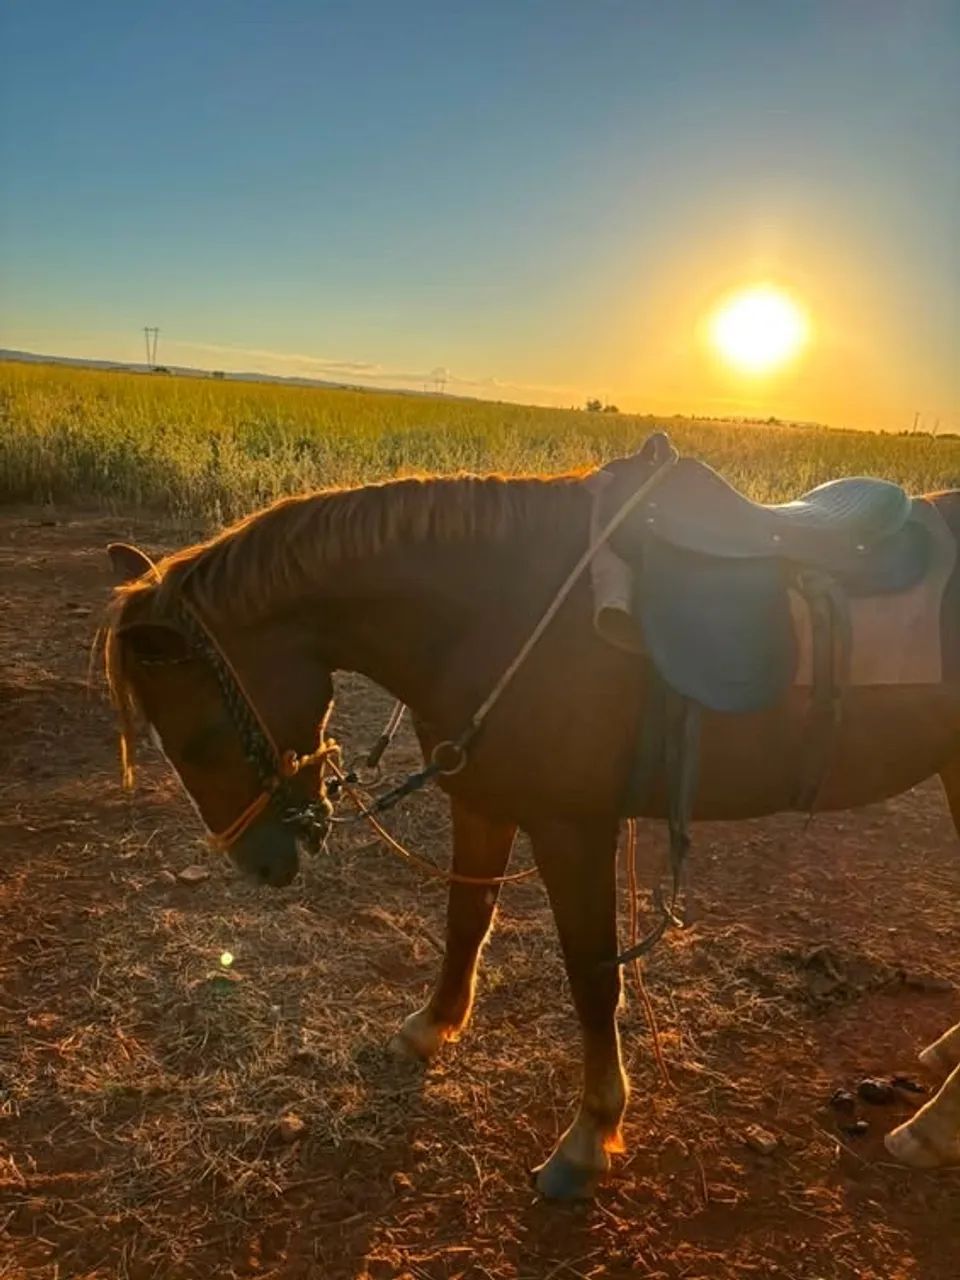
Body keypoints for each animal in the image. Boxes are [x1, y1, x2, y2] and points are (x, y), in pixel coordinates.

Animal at [101, 455, 960, 1199]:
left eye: (193, 738)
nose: (262, 864)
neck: (497, 607)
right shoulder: (483, 801)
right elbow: (465, 919)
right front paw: (431, 1028)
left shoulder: (573, 827)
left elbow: (591, 976)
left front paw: (588, 1138)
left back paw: (929, 1128)